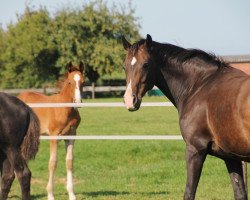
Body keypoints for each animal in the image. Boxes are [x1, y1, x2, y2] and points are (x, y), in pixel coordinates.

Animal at [18, 61, 85, 200]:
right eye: (69, 82)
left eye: (83, 82)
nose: (78, 101)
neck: (65, 110)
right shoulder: (54, 136)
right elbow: (52, 163)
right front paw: (50, 194)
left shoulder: (71, 136)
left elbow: (69, 161)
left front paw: (72, 194)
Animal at [122, 33, 250, 199]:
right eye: (124, 66)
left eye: (145, 64)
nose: (129, 100)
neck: (199, 85)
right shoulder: (231, 156)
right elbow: (239, 193)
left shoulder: (195, 150)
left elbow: (189, 193)